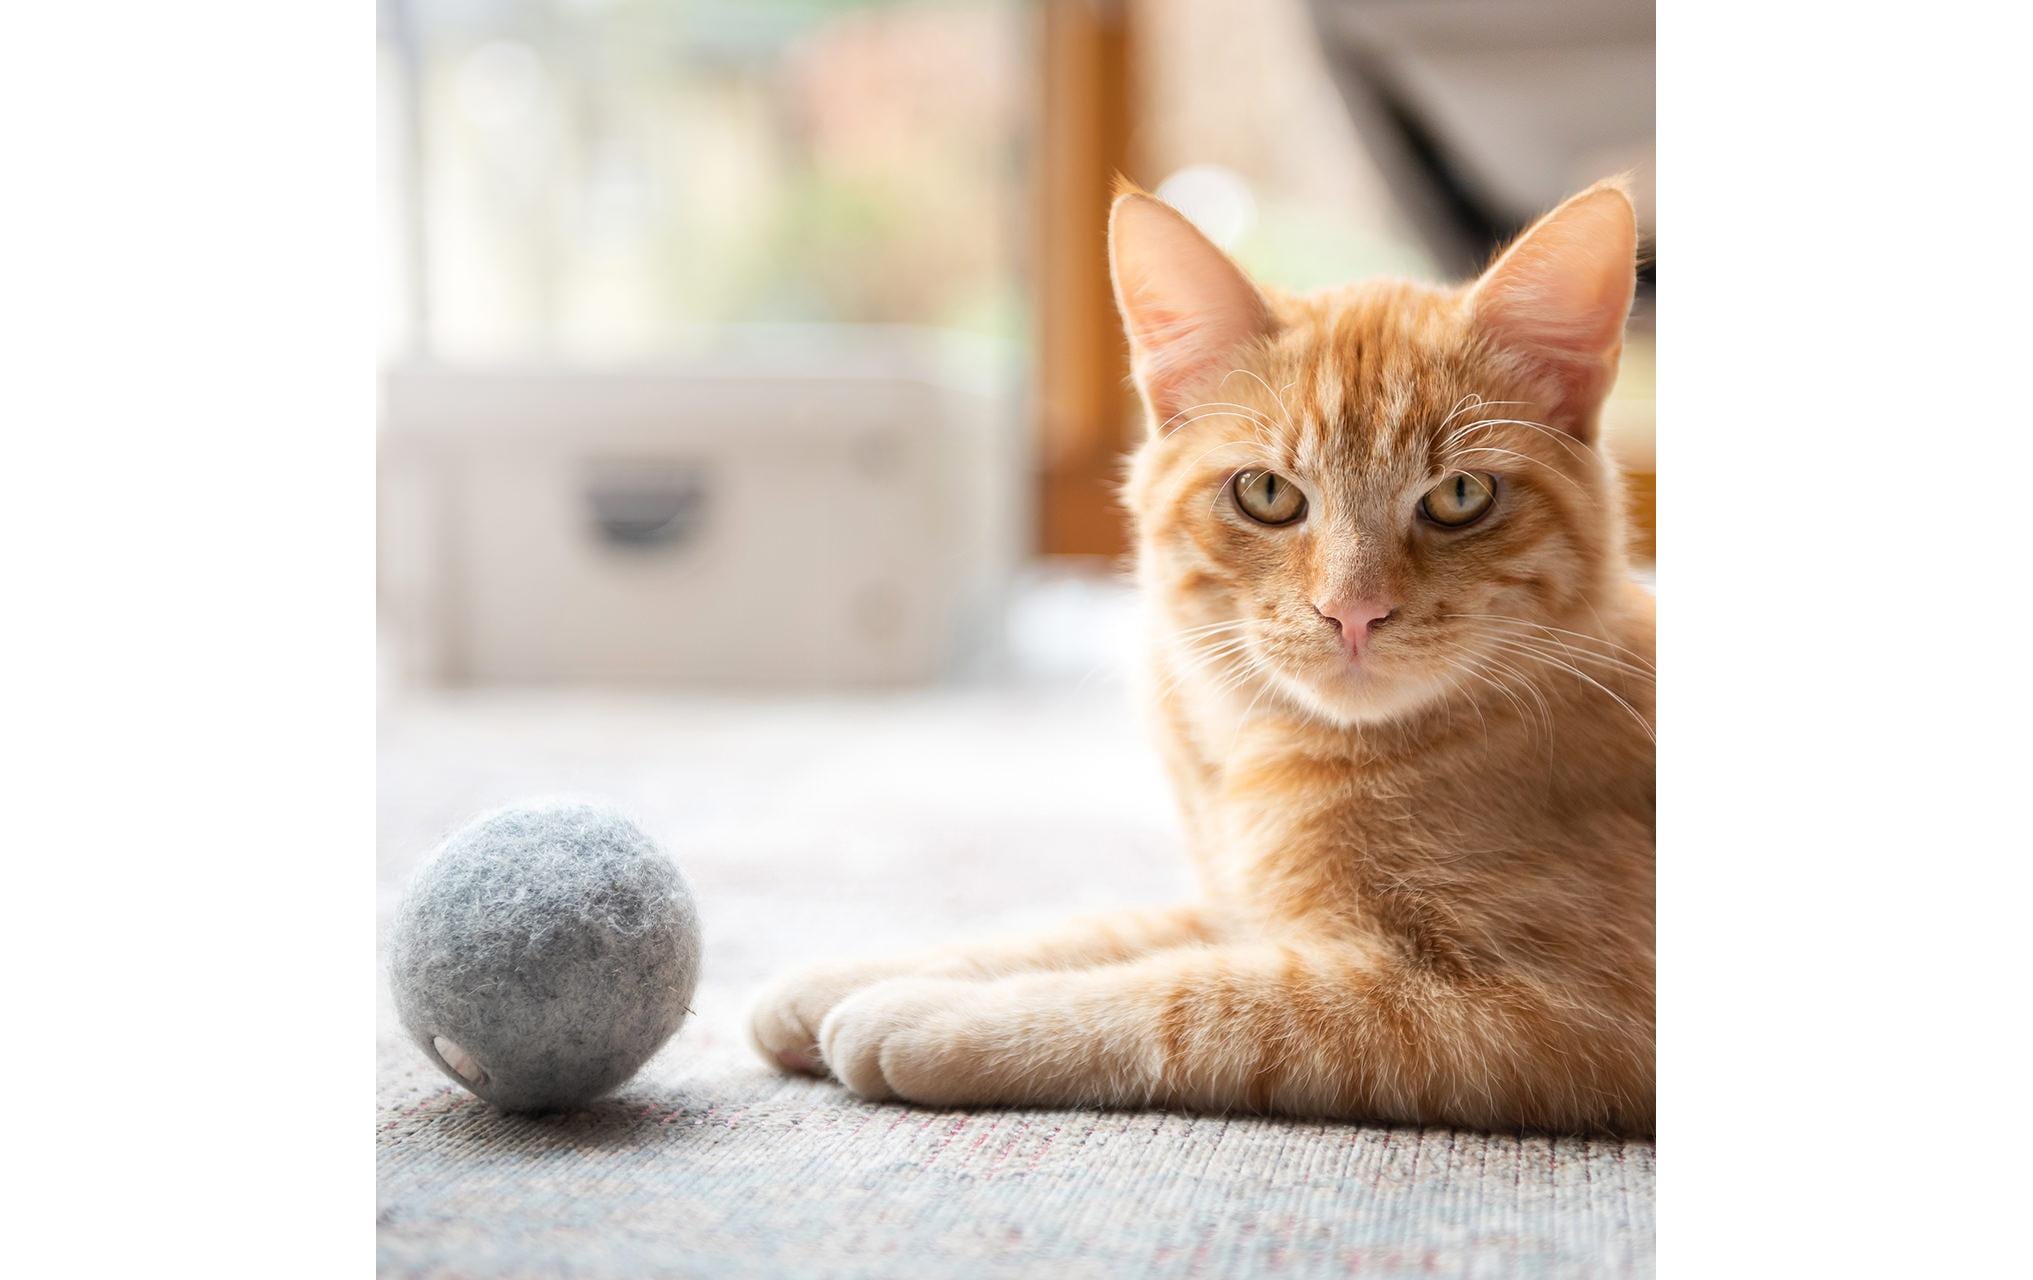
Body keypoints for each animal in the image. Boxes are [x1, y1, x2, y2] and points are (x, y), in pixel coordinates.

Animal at [748, 177, 1650, 1129]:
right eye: (1267, 494)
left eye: (1460, 495)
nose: (1352, 612)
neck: (1271, 756)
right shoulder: (1247, 908)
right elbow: (1107, 930)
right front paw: (848, 978)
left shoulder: (1559, 1011)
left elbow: (1197, 998)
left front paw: (932, 1015)